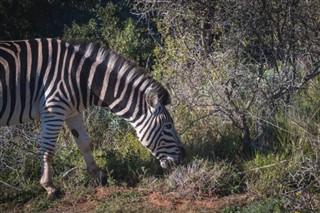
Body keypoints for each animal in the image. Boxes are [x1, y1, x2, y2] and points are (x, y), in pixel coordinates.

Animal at [0, 37, 185, 198]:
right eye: (168, 126)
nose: (183, 158)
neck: (80, 77)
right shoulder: (53, 109)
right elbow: (48, 150)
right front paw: (50, 187)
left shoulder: (72, 112)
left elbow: (85, 144)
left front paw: (99, 176)